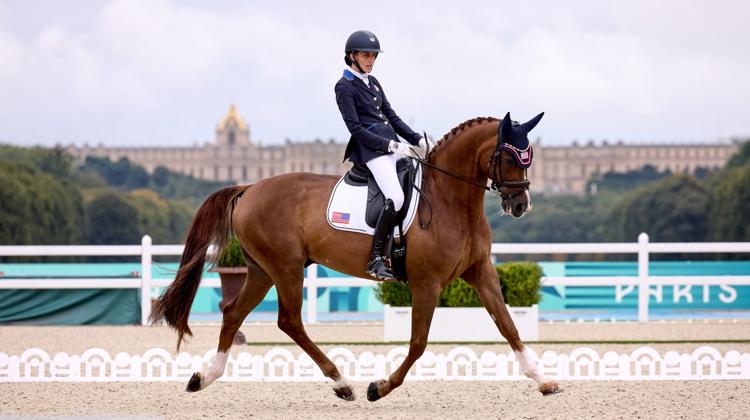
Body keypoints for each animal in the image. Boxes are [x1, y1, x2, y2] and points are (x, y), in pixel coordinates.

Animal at [153, 113, 560, 402]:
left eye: (529, 157)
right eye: (508, 156)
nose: (521, 205)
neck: (450, 199)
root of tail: (250, 187)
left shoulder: (480, 272)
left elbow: (508, 325)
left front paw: (544, 380)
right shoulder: (427, 283)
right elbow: (418, 343)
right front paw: (379, 387)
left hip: (262, 270)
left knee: (234, 312)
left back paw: (204, 377)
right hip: (286, 268)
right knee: (289, 322)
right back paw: (342, 382)